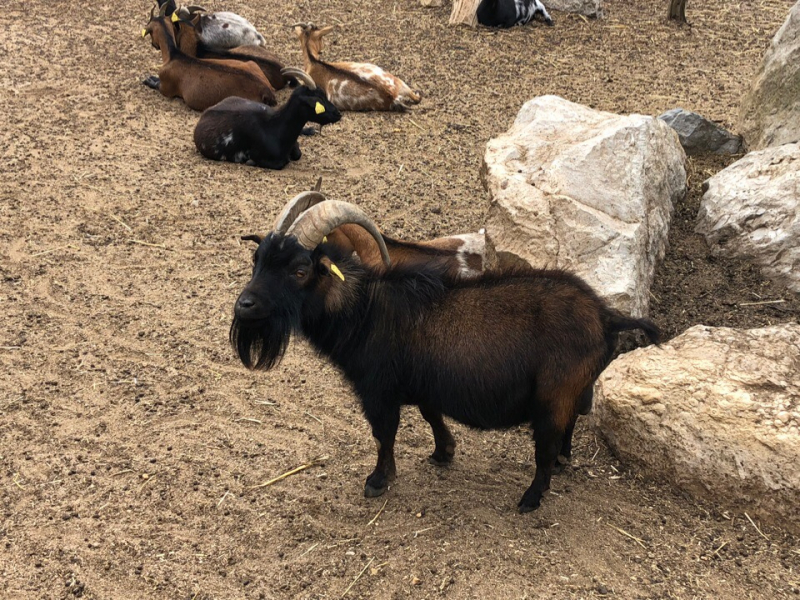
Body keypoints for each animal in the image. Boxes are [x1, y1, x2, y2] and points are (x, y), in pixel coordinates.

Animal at [197, 69, 344, 170]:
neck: (275, 127)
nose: (338, 114)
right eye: (318, 100)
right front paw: (250, 161)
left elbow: (298, 154)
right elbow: (281, 163)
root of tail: (206, 113)